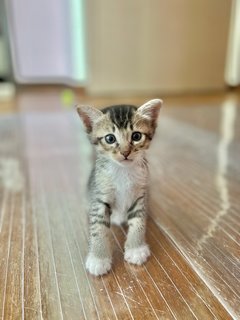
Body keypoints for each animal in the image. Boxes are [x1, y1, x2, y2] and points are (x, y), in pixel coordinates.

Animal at [76, 98, 163, 276]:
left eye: (136, 136)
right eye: (110, 138)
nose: (125, 152)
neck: (123, 172)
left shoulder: (140, 195)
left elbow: (138, 222)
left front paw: (136, 249)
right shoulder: (99, 197)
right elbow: (98, 228)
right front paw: (98, 258)